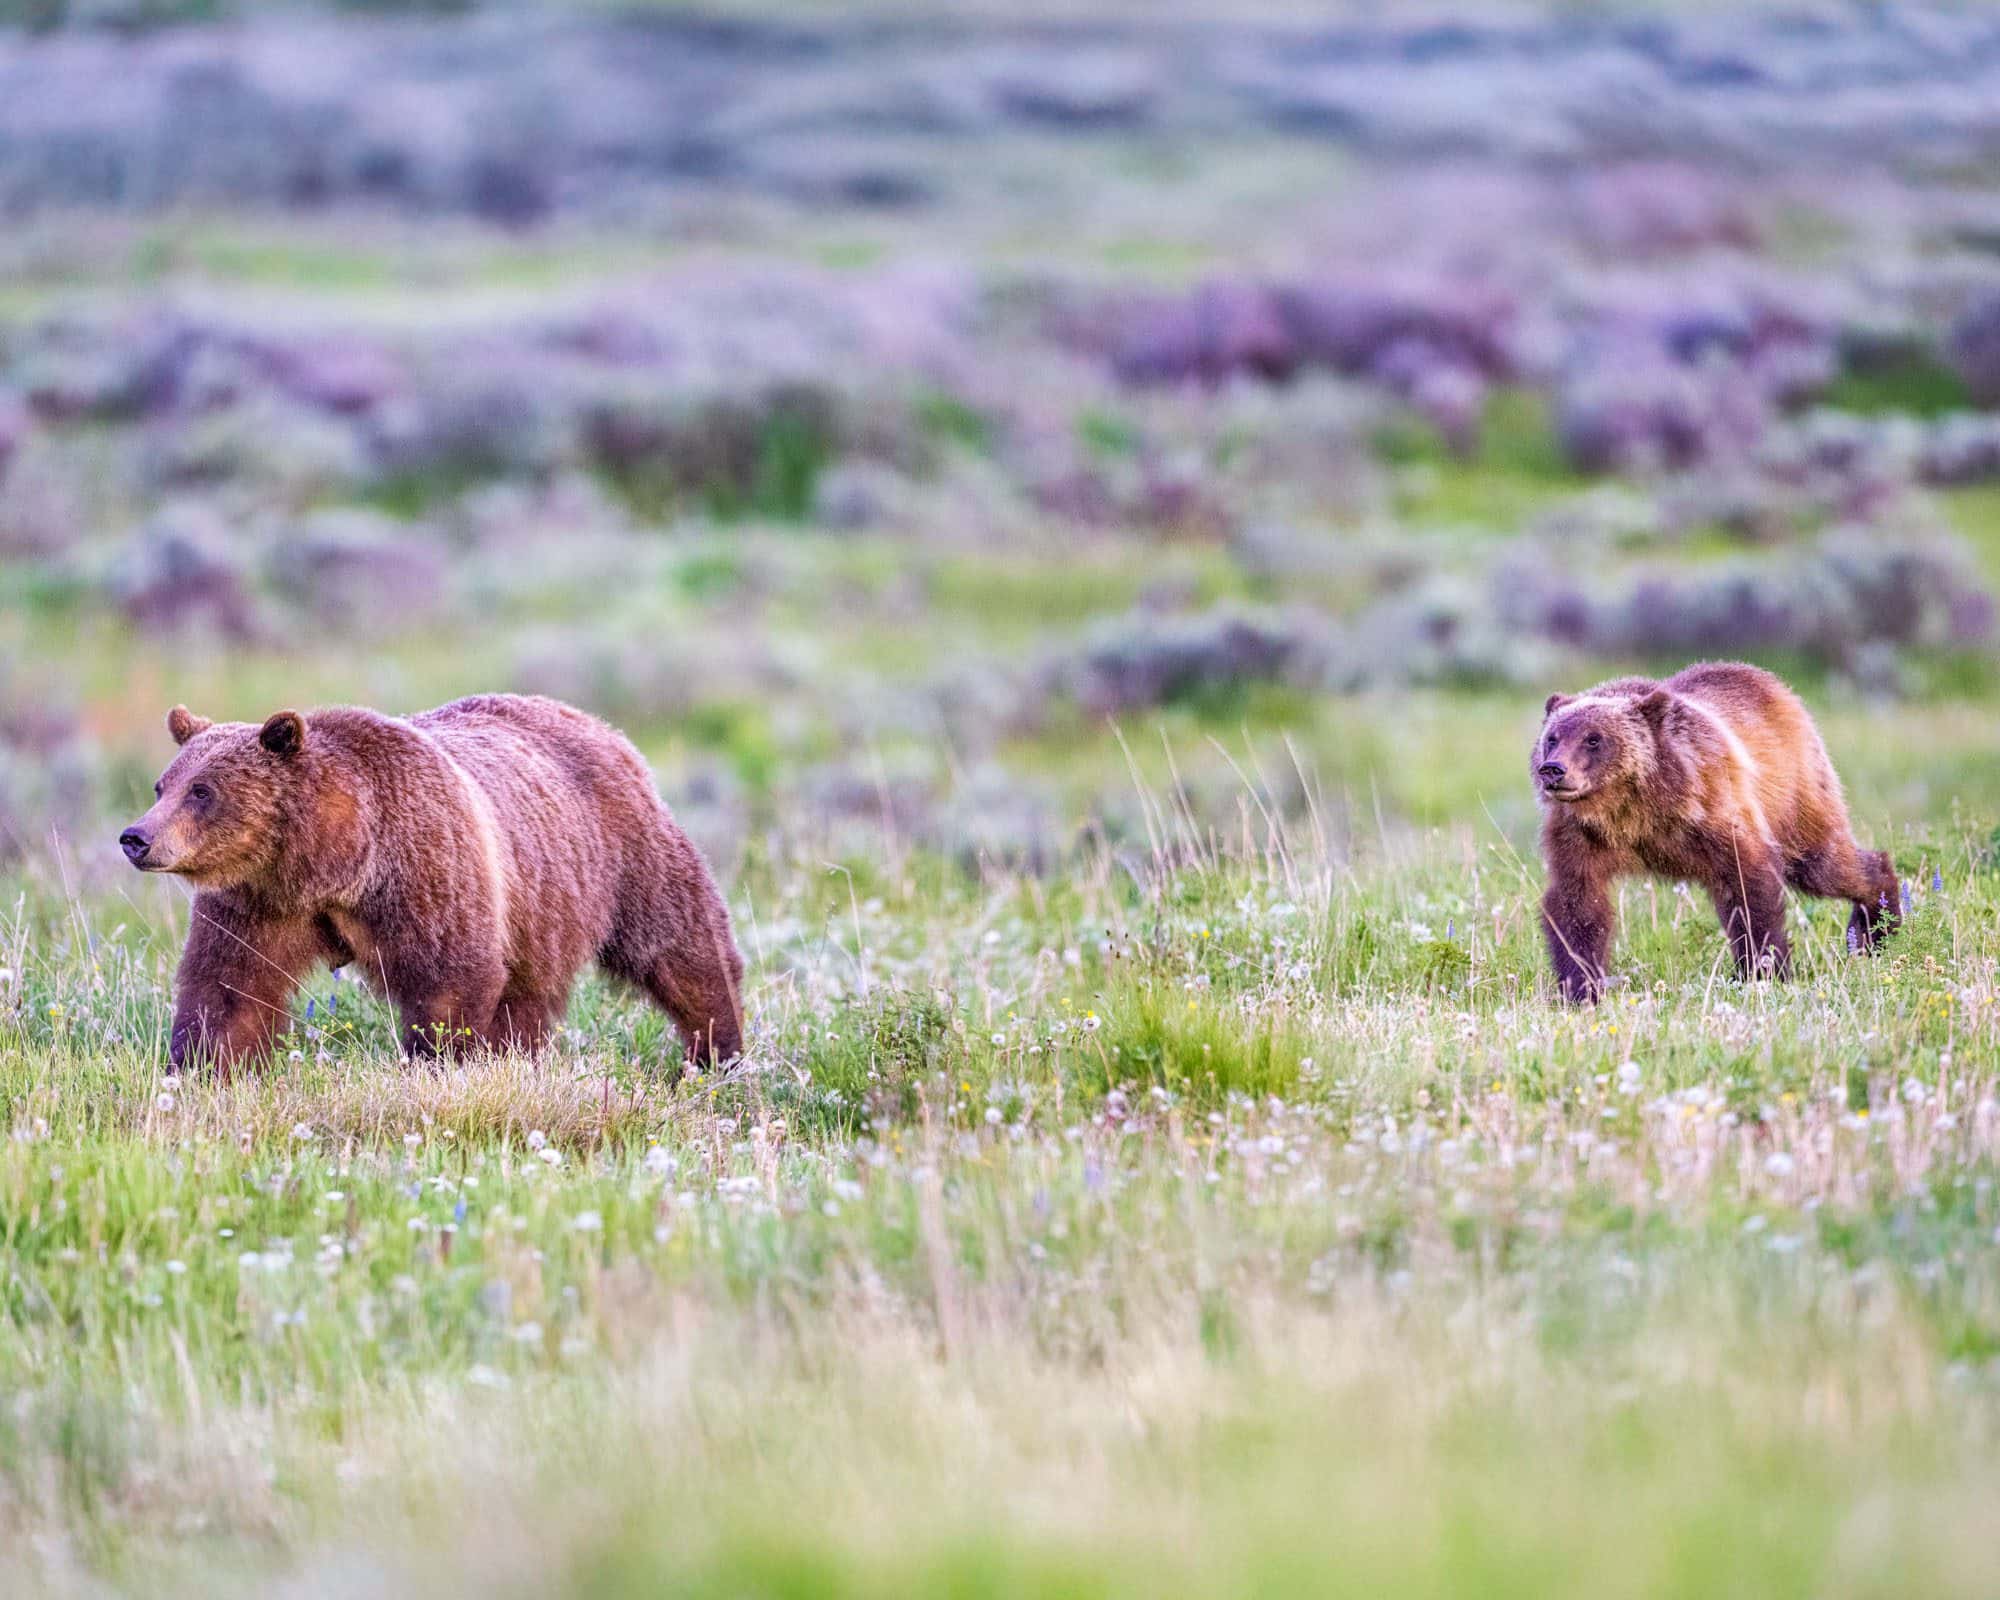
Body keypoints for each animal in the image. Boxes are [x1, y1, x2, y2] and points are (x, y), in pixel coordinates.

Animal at [119, 693, 744, 1073]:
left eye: (203, 791)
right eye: (162, 785)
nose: (135, 838)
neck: (334, 861)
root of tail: (598, 725)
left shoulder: (426, 867)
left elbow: (449, 979)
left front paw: (433, 1062)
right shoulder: (260, 904)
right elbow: (228, 989)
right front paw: (199, 1068)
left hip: (621, 850)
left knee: (679, 943)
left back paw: (720, 1050)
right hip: (542, 905)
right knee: (529, 993)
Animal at [1533, 661, 1898, 1003]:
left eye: (1593, 739)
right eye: (1552, 737)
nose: (1553, 769)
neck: (1630, 810)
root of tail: (1774, 684)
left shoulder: (1712, 810)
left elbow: (1749, 888)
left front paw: (1765, 971)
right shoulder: (1579, 835)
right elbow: (1578, 904)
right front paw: (1581, 988)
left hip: (1795, 794)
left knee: (1823, 863)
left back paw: (1879, 924)